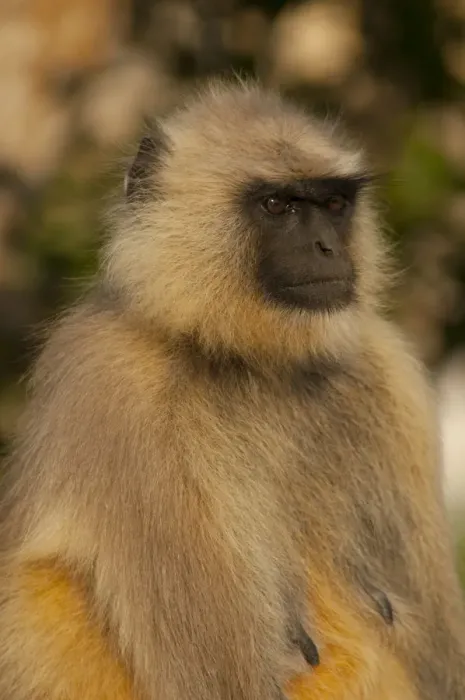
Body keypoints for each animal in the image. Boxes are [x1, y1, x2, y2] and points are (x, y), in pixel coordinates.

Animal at [0, 79, 465, 700]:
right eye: (277, 205)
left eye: (333, 205)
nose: (326, 248)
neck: (253, 364)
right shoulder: (117, 384)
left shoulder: (391, 374)